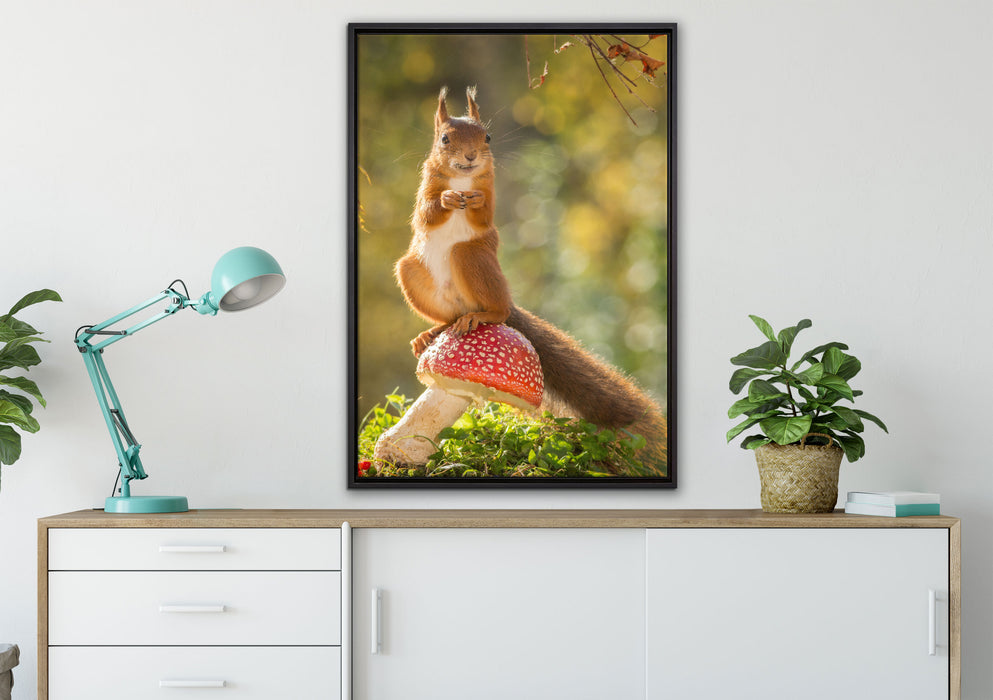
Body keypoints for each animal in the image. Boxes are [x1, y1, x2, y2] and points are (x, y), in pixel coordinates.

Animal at [394, 86, 668, 474]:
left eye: (487, 137)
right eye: (444, 139)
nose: (470, 156)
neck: (462, 180)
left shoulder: (490, 192)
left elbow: (484, 213)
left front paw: (473, 201)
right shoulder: (425, 185)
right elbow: (426, 212)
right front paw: (447, 199)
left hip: (473, 257)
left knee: (492, 305)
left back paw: (485, 315)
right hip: (411, 271)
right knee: (447, 316)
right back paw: (431, 333)